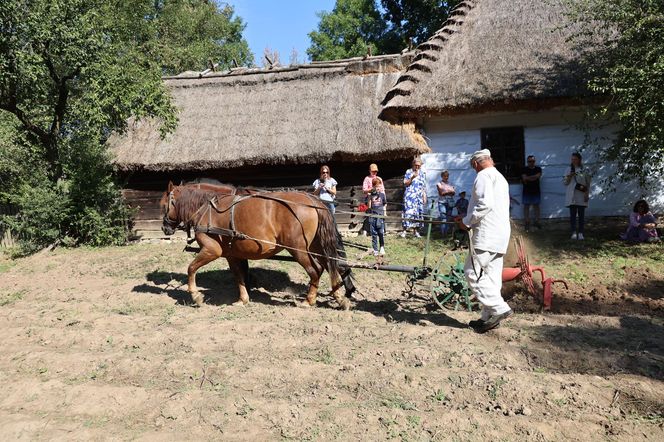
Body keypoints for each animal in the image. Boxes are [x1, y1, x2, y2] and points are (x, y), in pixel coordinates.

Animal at [161, 181, 356, 310]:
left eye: (164, 205)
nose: (164, 228)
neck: (208, 209)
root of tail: (313, 201)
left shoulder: (211, 250)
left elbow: (191, 268)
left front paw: (195, 295)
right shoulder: (232, 254)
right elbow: (238, 275)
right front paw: (243, 299)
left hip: (298, 249)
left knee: (315, 270)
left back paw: (310, 300)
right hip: (316, 245)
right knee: (331, 265)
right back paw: (340, 297)